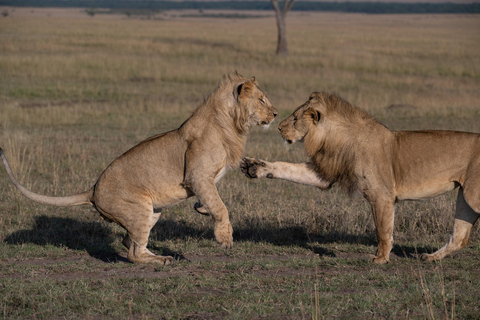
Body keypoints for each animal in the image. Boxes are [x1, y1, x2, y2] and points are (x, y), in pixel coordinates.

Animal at [0, 73, 278, 264]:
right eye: (262, 99)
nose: (276, 114)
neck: (231, 124)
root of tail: (92, 190)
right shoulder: (197, 176)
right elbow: (221, 206)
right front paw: (225, 237)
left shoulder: (204, 179)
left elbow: (213, 198)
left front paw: (201, 208)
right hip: (139, 209)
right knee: (133, 251)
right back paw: (162, 261)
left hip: (152, 211)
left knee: (129, 241)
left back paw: (158, 256)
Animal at [244, 92, 480, 262]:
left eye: (294, 119)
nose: (278, 127)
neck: (334, 139)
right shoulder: (324, 175)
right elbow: (288, 168)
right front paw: (256, 167)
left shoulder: (381, 195)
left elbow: (382, 230)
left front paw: (380, 259)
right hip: (465, 197)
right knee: (459, 237)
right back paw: (430, 258)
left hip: (472, 196)